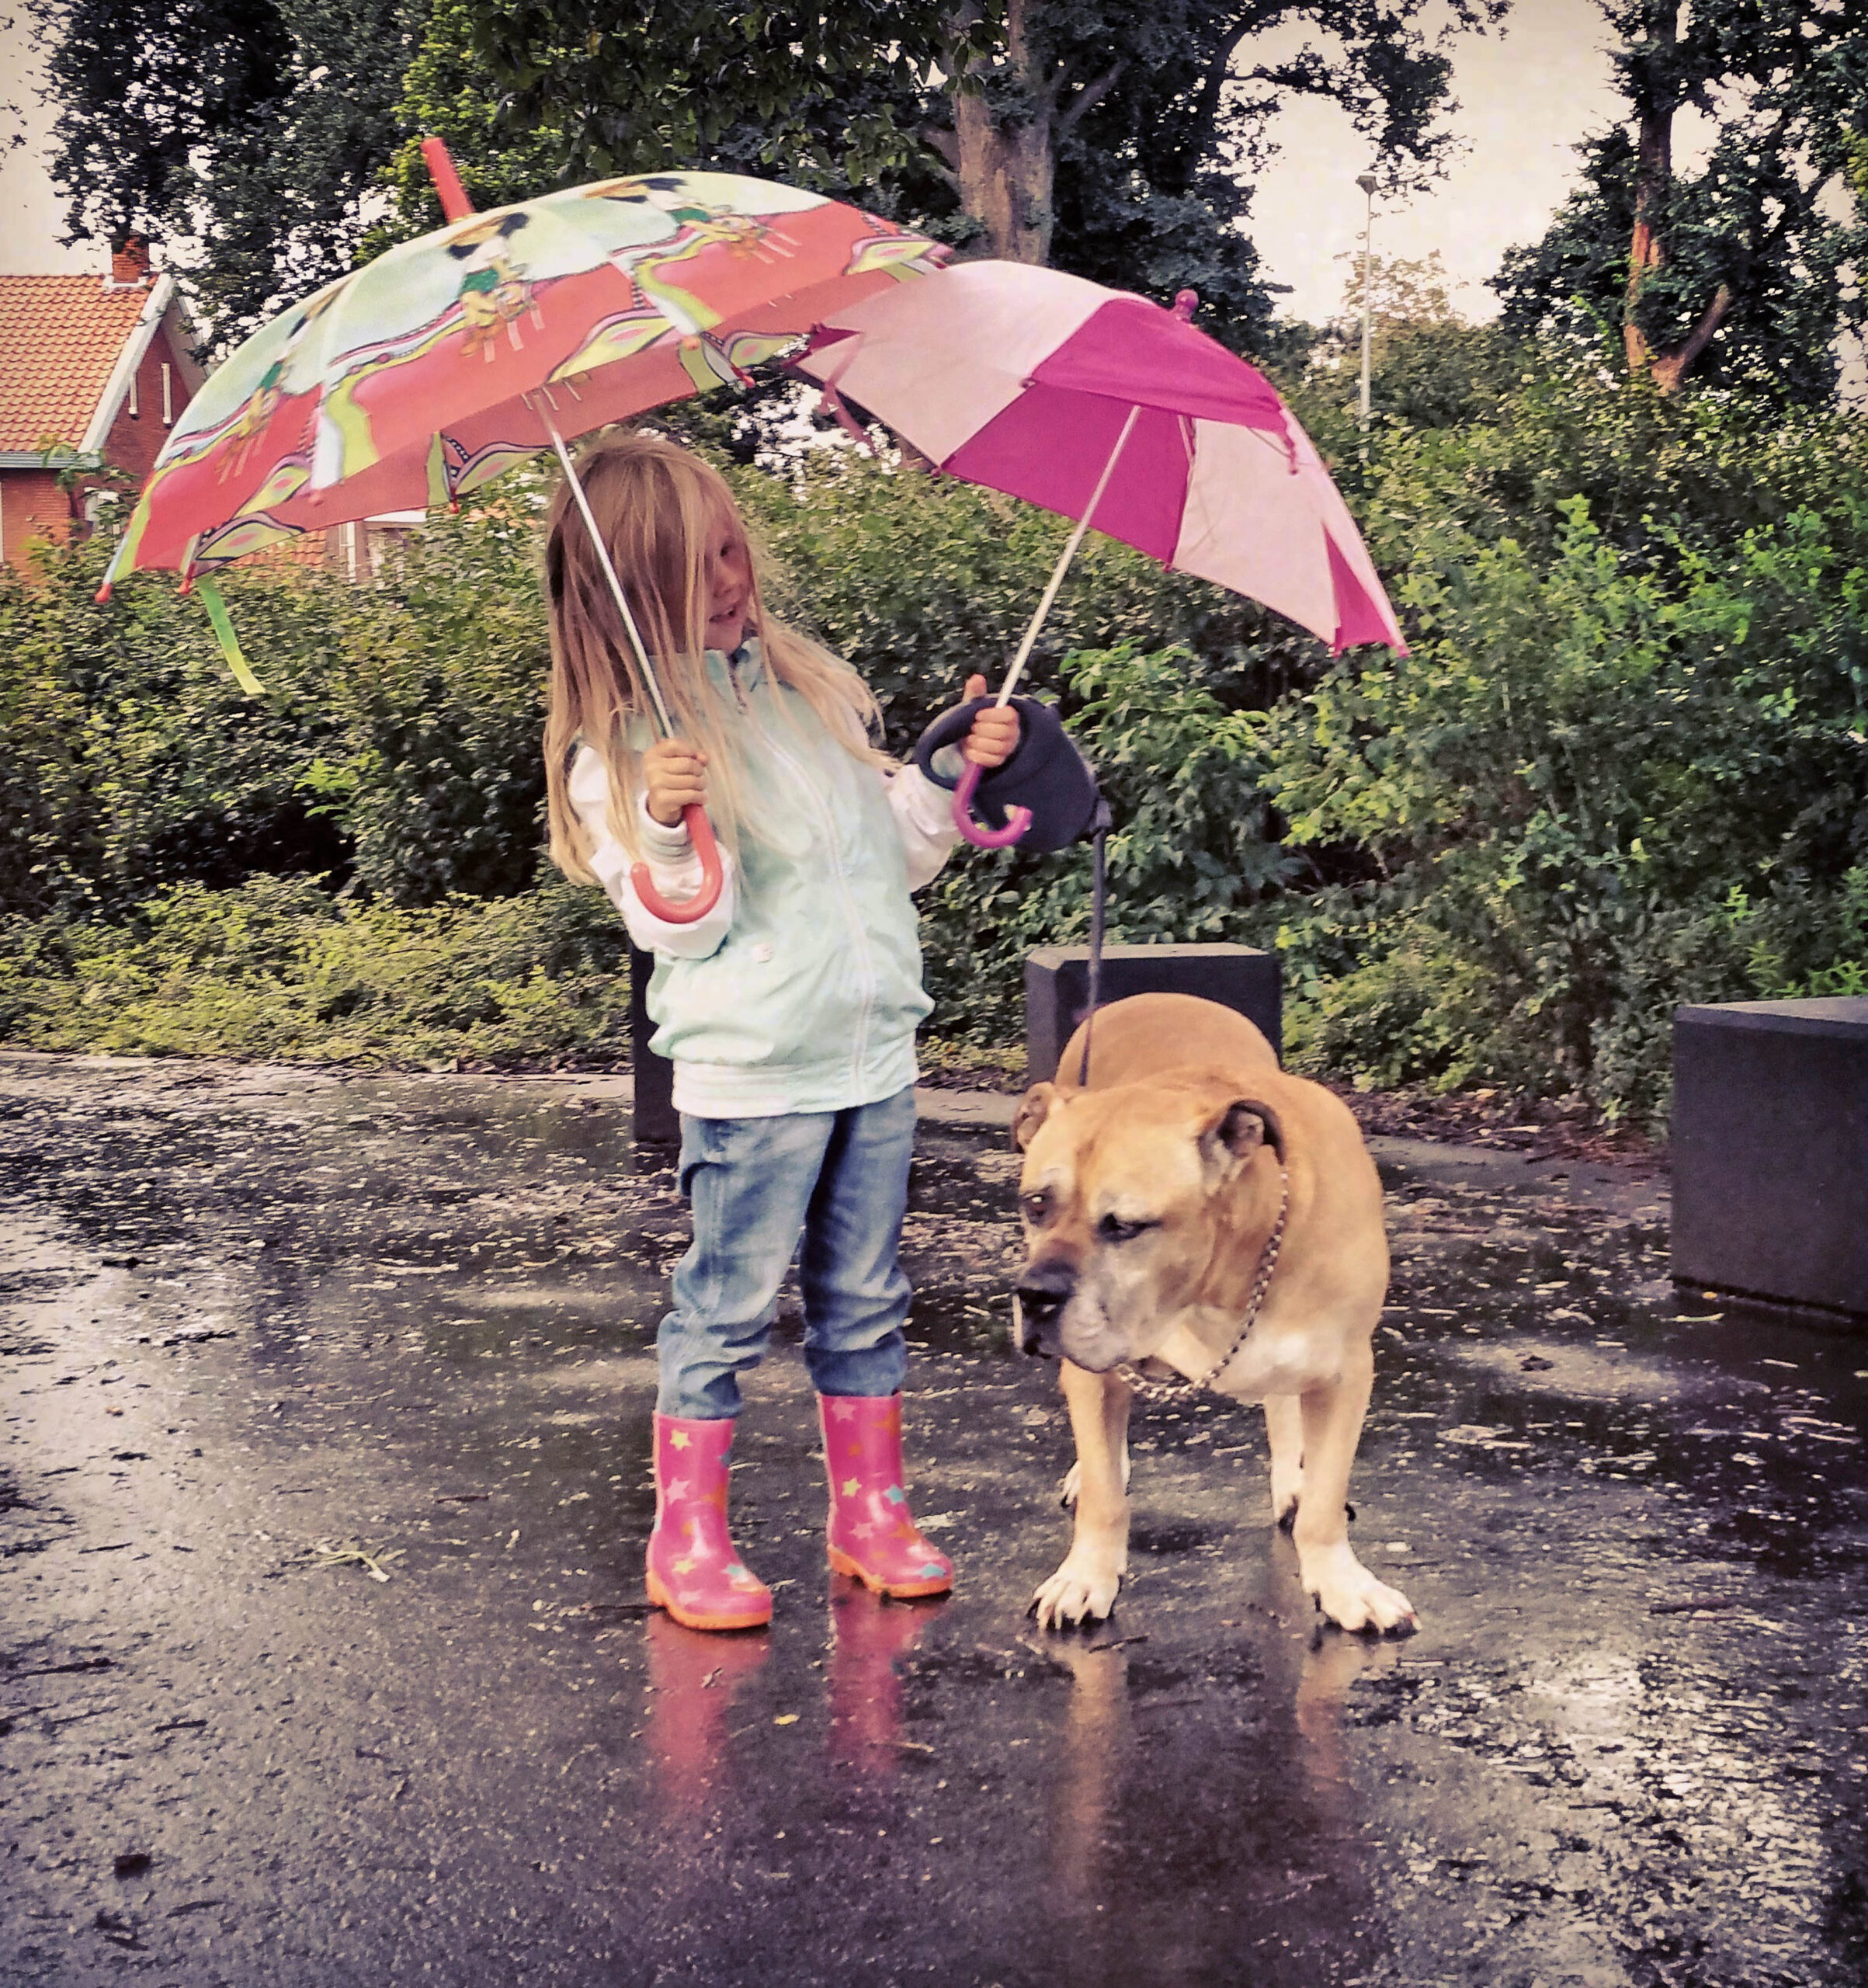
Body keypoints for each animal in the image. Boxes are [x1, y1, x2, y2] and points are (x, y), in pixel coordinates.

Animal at [1025, 989, 1415, 1630]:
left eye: (1125, 1225)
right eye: (1035, 1204)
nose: (1034, 1296)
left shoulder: (1344, 1372)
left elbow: (1325, 1502)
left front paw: (1342, 1584)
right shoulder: (1094, 1370)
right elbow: (1105, 1497)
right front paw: (1085, 1577)